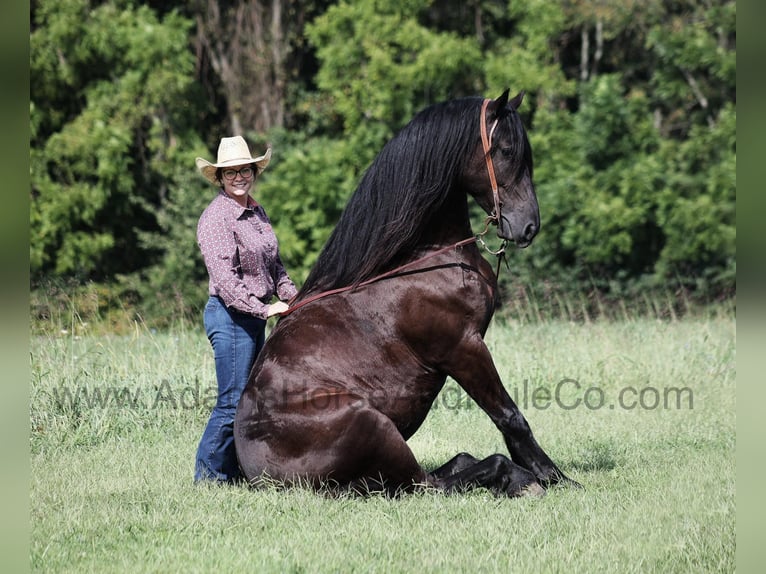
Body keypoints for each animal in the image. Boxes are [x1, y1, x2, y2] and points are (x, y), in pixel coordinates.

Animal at [234, 90, 579, 496]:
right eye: (506, 150)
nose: (529, 226)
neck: (424, 260)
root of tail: (258, 474)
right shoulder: (464, 348)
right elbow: (511, 417)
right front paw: (554, 476)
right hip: (374, 426)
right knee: (433, 483)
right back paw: (519, 478)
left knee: (452, 467)